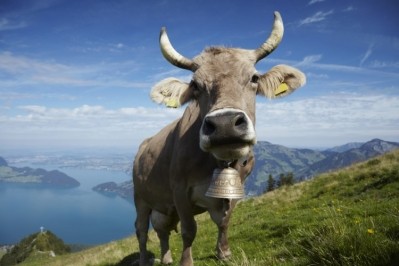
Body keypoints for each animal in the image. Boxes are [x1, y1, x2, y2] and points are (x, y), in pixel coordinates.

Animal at [134, 11, 306, 264]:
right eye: (195, 85)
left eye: (254, 78)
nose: (225, 124)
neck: (218, 163)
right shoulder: (179, 190)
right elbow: (189, 230)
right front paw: (187, 262)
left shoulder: (237, 186)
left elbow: (224, 221)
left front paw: (224, 252)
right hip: (140, 198)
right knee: (142, 231)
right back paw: (145, 259)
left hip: (162, 206)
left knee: (162, 228)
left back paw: (166, 258)